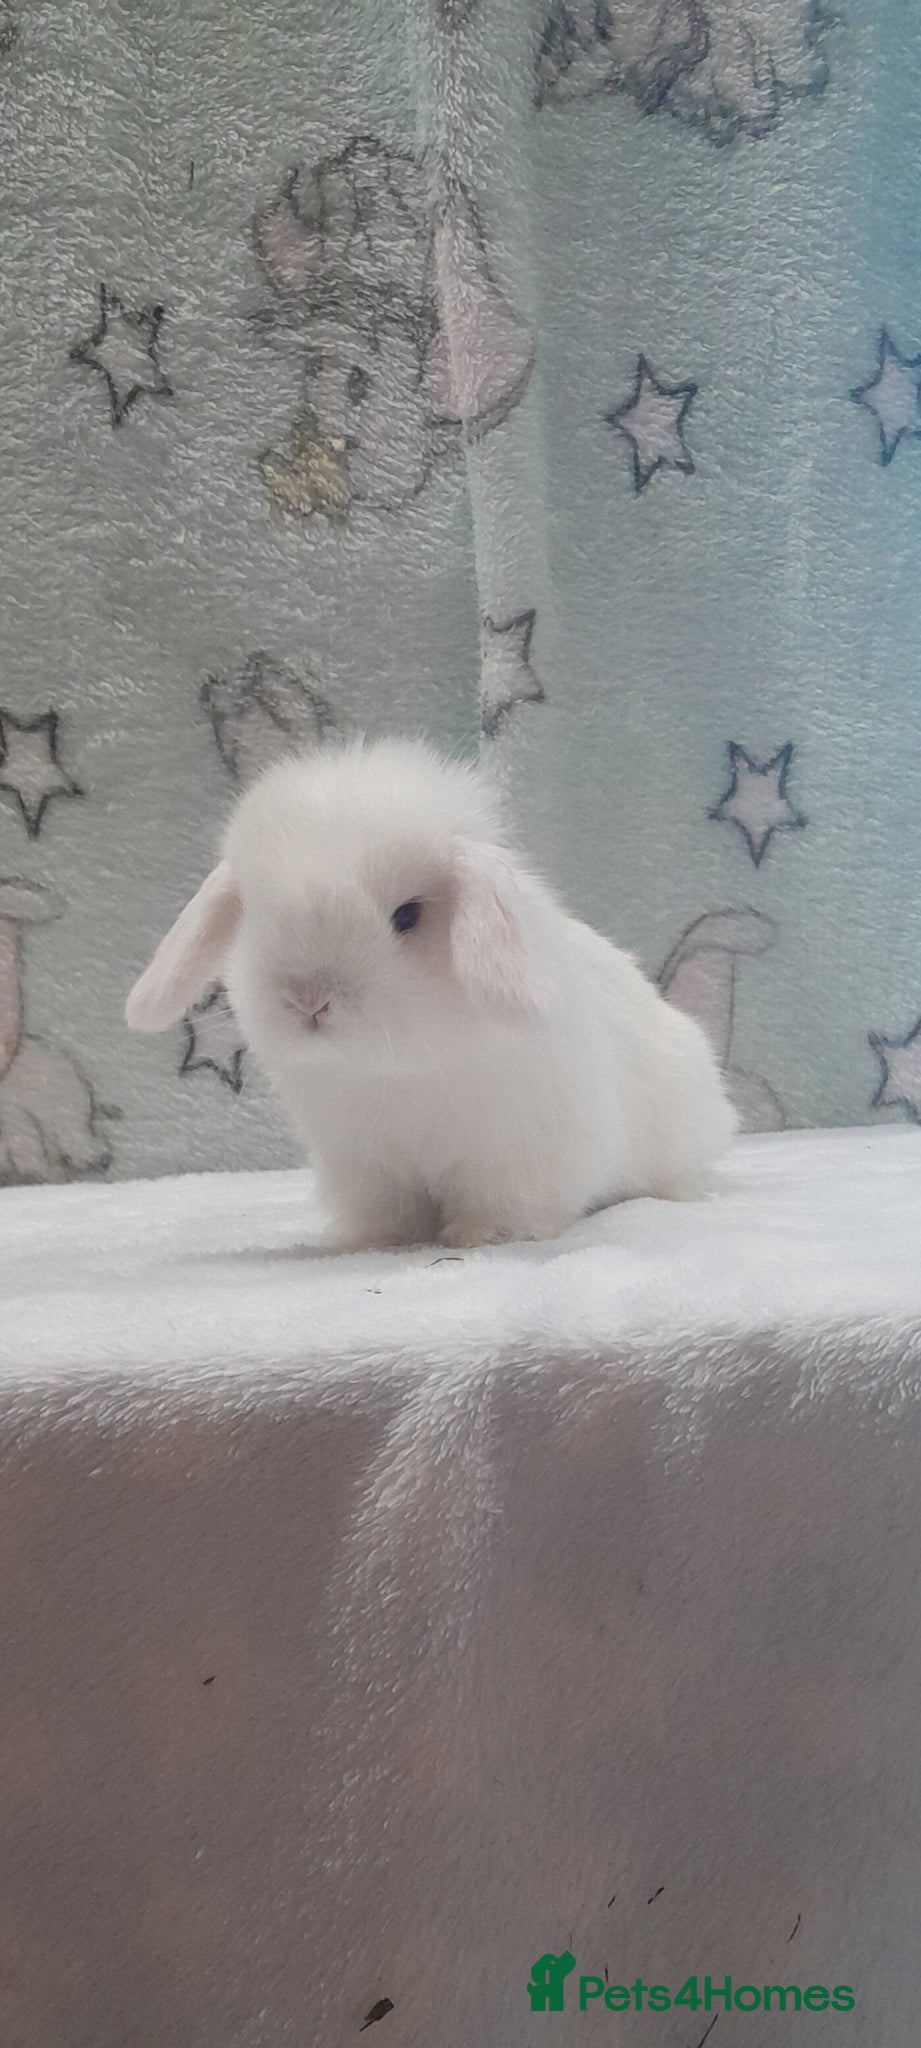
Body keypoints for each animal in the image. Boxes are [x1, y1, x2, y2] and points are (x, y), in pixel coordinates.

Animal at [125, 736, 736, 1250]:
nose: (308, 1000)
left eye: (408, 915)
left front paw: (481, 1238)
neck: (395, 1072)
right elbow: (387, 1212)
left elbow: (507, 1204)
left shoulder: (515, 1154)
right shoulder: (365, 1165)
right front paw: (374, 1241)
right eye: (252, 916)